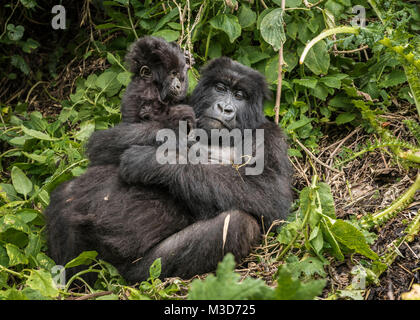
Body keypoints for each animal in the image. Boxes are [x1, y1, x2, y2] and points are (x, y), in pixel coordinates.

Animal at [44, 57, 290, 282]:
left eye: (239, 95)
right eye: (220, 88)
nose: (224, 108)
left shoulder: (271, 135)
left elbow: (270, 196)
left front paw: (153, 161)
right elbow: (101, 143)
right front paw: (172, 130)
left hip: (142, 271)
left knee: (237, 224)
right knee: (67, 194)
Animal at [86, 36, 197, 166]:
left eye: (178, 75)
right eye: (172, 74)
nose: (178, 85)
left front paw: (187, 62)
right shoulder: (146, 90)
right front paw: (180, 115)